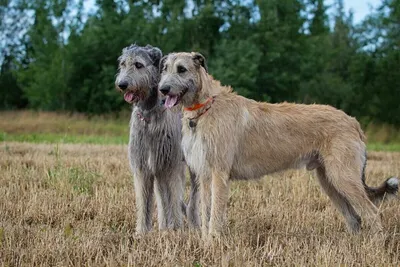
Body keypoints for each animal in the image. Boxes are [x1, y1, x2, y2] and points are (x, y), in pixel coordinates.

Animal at [115, 45, 199, 233]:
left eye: (138, 64)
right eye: (122, 64)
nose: (122, 84)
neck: (149, 115)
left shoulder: (171, 166)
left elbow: (174, 197)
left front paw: (176, 229)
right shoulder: (143, 166)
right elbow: (144, 201)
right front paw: (142, 232)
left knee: (193, 196)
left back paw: (193, 223)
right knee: (162, 196)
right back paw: (163, 226)